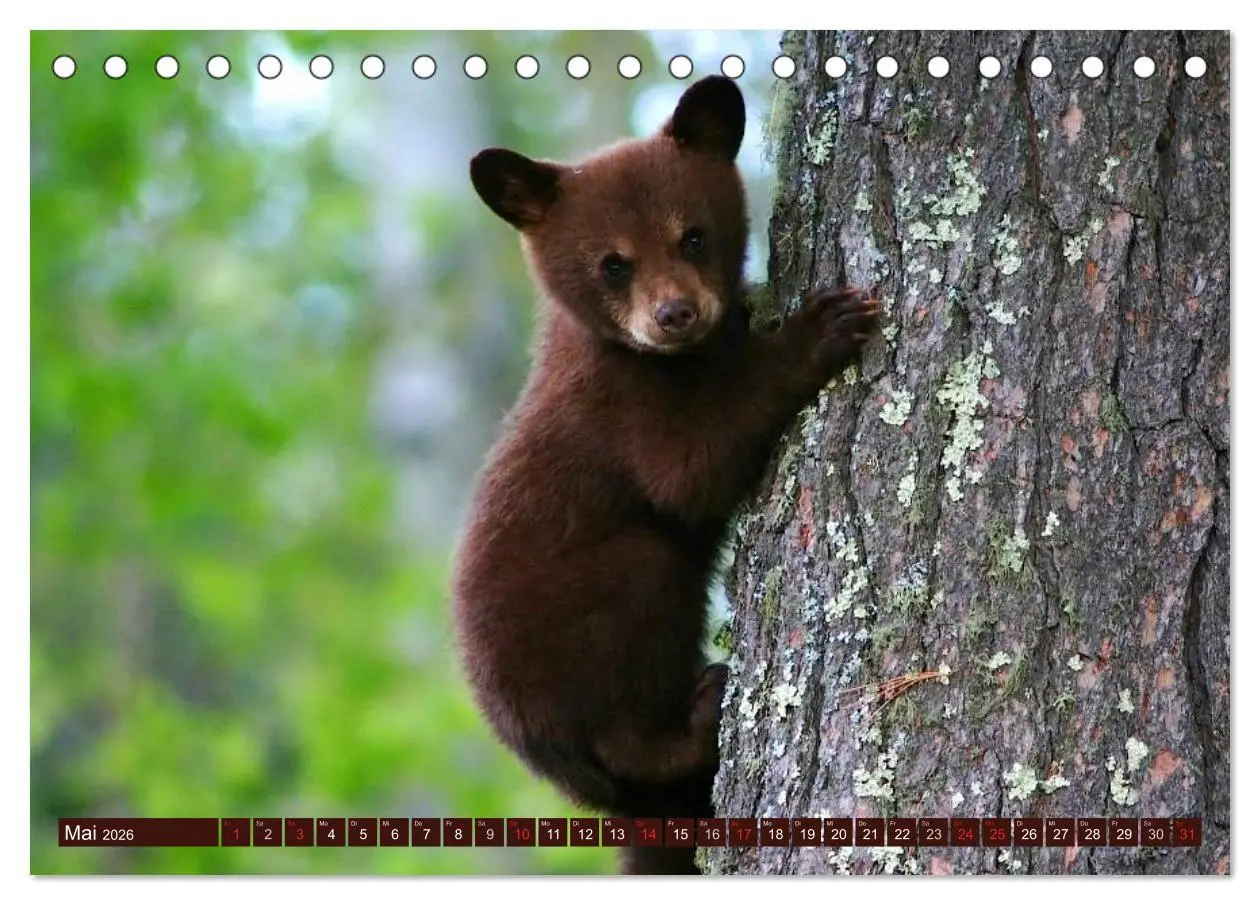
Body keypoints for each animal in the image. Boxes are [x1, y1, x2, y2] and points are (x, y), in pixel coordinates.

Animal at [452, 75, 880, 874]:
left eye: (693, 235)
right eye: (612, 263)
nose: (675, 313)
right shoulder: (621, 405)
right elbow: (691, 468)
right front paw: (820, 327)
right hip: (587, 624)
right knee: (632, 674)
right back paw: (701, 711)